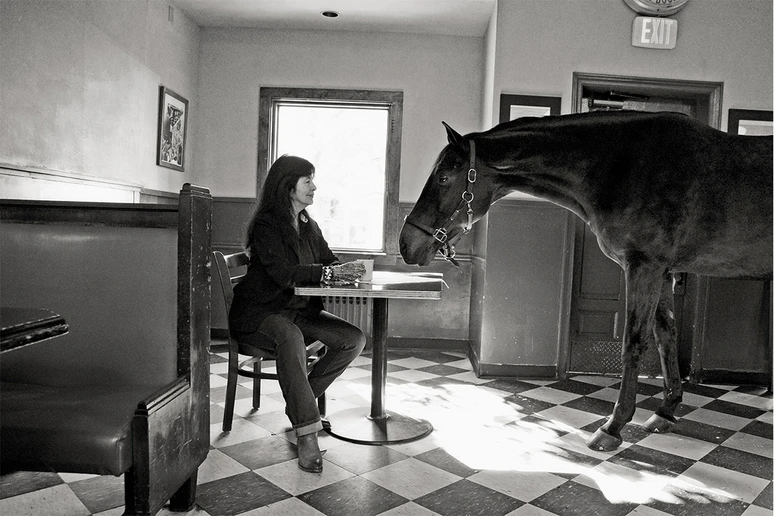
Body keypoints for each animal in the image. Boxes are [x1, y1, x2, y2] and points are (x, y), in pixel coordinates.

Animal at [399, 111, 772, 451]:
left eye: (444, 177)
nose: (406, 244)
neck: (624, 166)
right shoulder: (663, 272)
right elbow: (665, 335)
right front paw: (665, 411)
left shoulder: (644, 267)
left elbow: (634, 343)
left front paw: (614, 426)